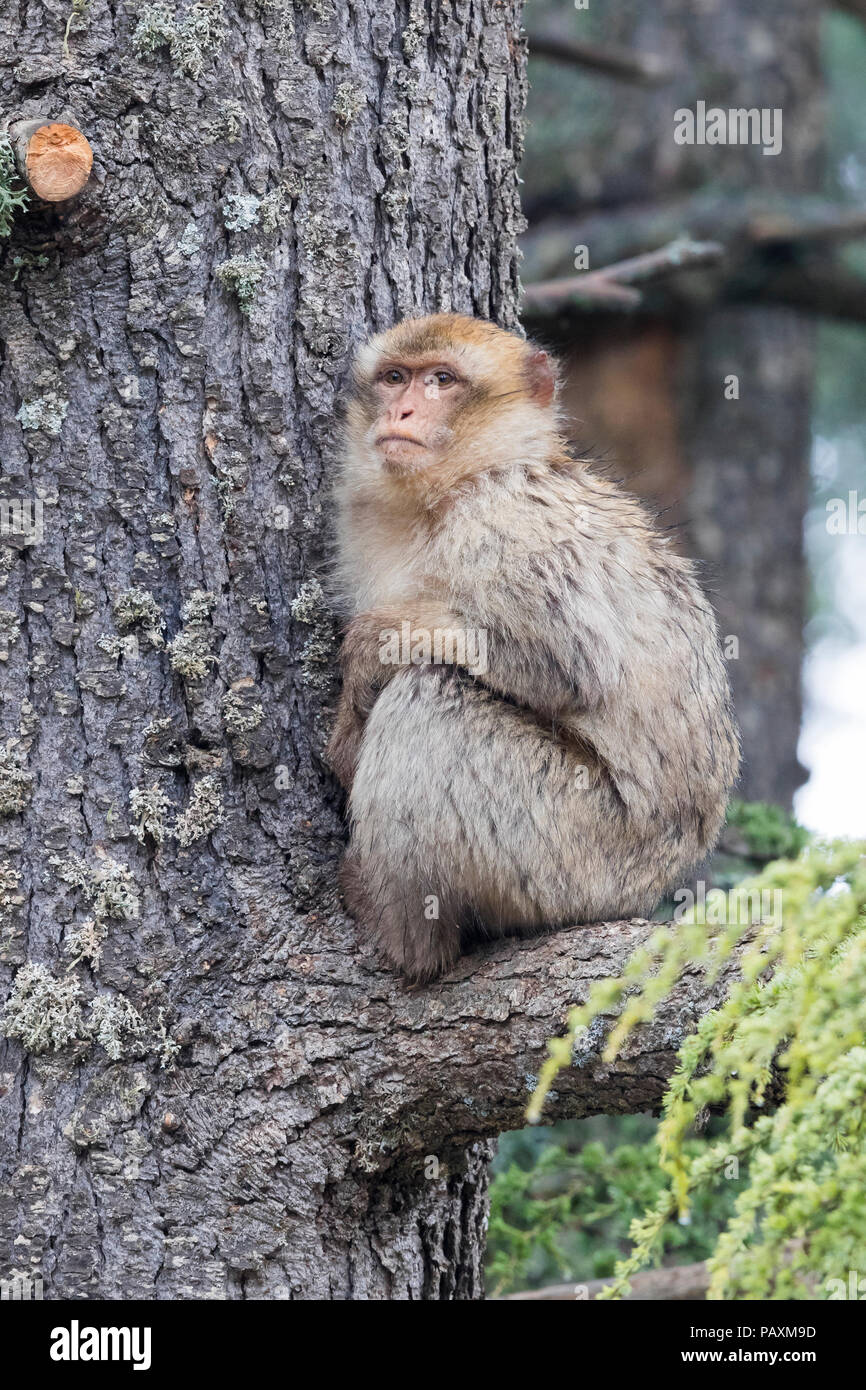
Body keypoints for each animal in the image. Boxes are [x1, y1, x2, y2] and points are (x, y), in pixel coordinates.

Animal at [325, 318, 739, 989]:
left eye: (442, 380)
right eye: (395, 377)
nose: (402, 410)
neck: (455, 487)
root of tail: (647, 890)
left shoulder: (502, 521)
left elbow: (565, 663)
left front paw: (368, 650)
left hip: (572, 855)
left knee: (432, 695)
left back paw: (411, 937)